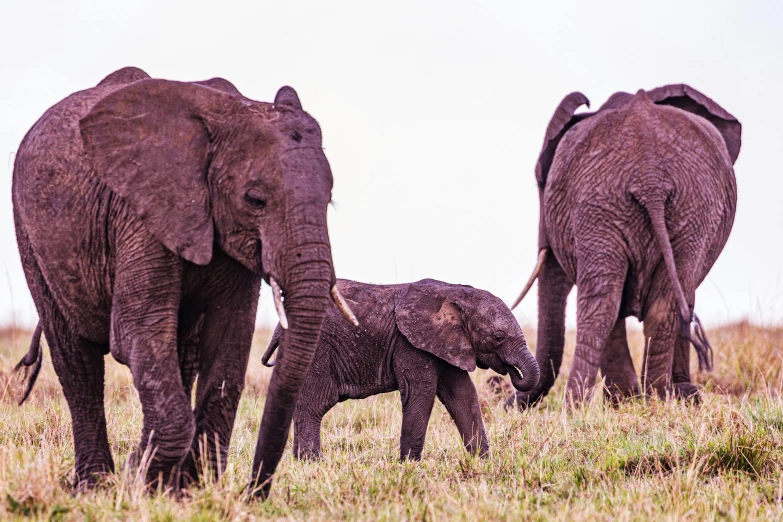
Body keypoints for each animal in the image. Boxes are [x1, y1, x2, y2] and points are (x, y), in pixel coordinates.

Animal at [12, 67, 356, 494]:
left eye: (329, 201)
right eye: (255, 200)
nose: (252, 494)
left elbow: (228, 340)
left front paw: (186, 490)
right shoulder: (140, 211)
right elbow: (136, 331)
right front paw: (140, 479)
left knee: (179, 355)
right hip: (30, 235)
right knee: (77, 361)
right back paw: (96, 485)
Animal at [260, 278, 544, 458]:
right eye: (498, 337)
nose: (512, 372)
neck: (455, 293)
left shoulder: (444, 342)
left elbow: (462, 394)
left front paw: (483, 463)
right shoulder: (410, 344)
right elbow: (422, 392)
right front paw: (409, 465)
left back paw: (300, 460)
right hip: (318, 350)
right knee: (314, 404)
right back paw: (313, 461)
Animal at [508, 84, 740, 406]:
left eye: (542, 185)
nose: (507, 398)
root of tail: (650, 177)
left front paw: (648, 397)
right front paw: (644, 397)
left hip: (632, 205)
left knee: (611, 304)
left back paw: (594, 403)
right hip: (663, 207)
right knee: (639, 304)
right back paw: (650, 397)